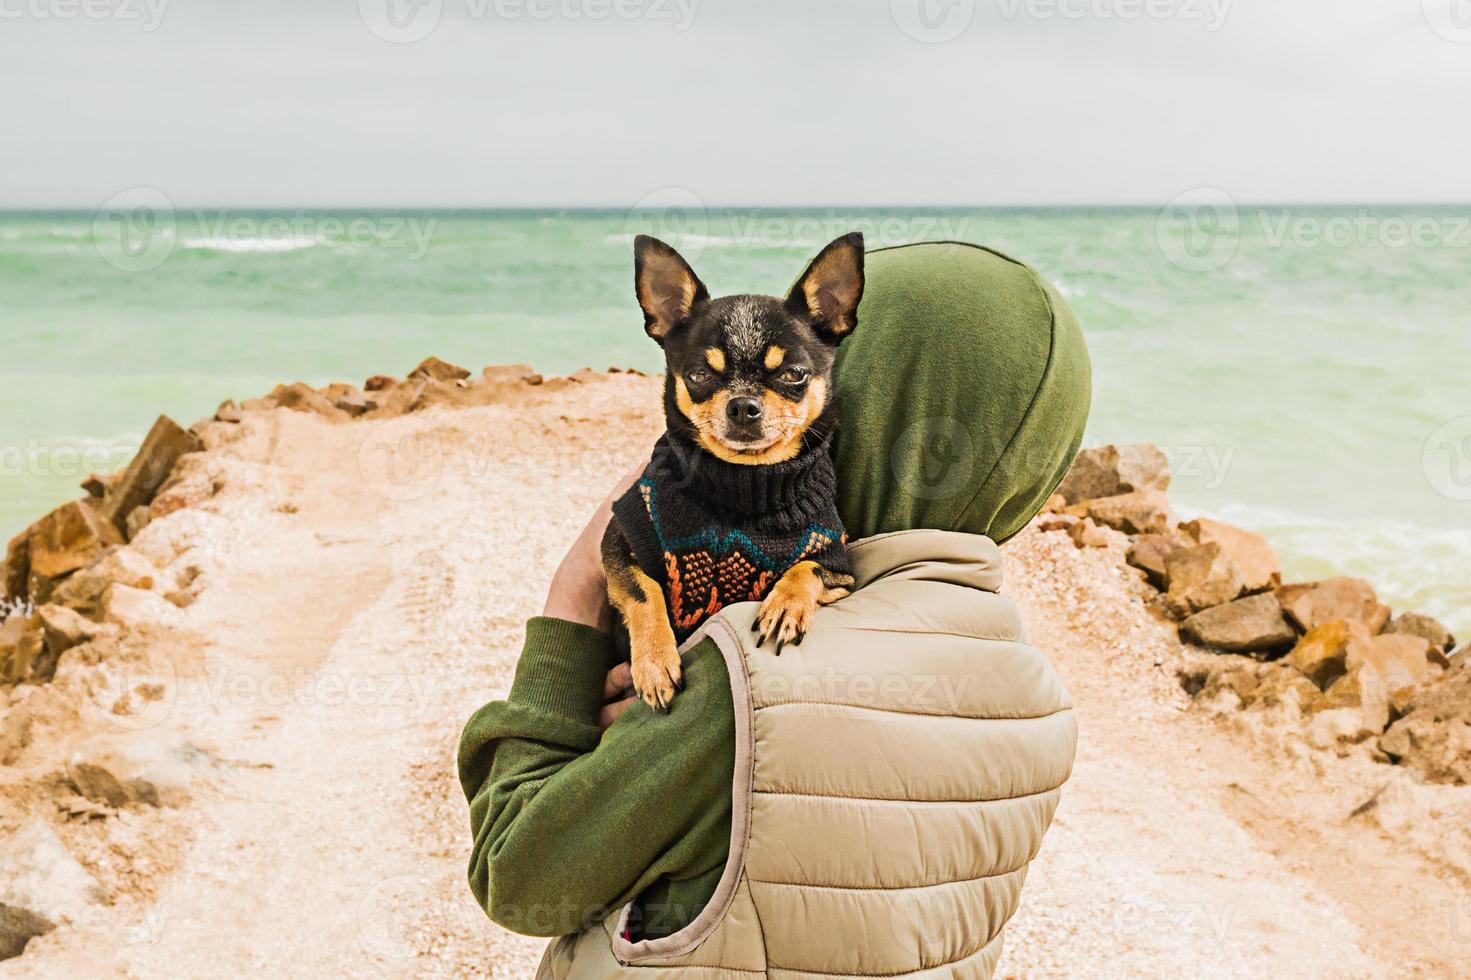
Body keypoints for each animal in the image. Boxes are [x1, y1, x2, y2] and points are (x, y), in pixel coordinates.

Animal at [603, 232, 864, 709]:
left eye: (794, 373)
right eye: (699, 374)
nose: (743, 404)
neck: (742, 484)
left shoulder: (840, 569)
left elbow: (807, 568)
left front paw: (785, 605)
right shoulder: (619, 543)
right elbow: (646, 592)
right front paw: (654, 663)